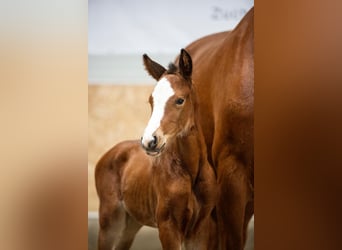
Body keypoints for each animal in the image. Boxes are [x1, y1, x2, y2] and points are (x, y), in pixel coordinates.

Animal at [94, 49, 216, 250]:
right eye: (151, 100)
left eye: (180, 100)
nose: (149, 141)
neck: (189, 170)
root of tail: (111, 152)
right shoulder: (167, 226)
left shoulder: (201, 228)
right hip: (110, 220)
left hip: (131, 223)